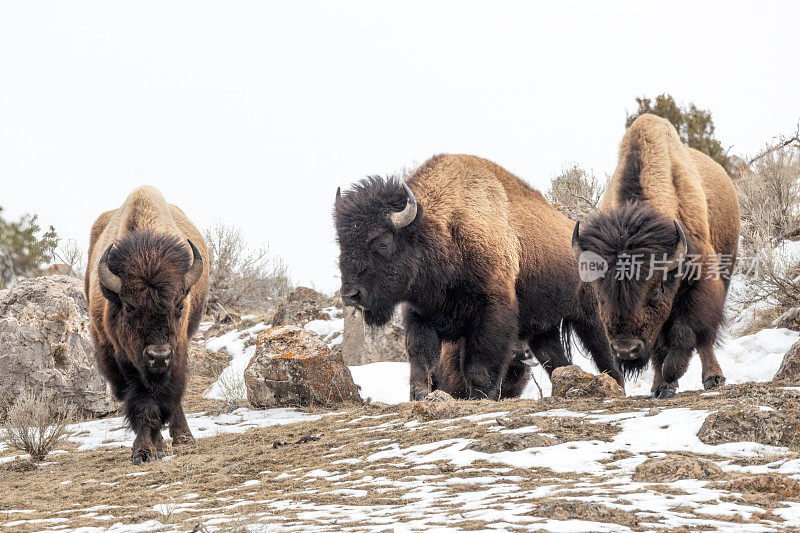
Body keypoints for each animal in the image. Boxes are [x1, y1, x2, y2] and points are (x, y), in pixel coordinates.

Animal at [85, 186, 209, 462]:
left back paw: (183, 437)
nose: (159, 357)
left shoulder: (178, 351)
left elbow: (167, 398)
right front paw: (144, 451)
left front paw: (156, 445)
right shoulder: (123, 361)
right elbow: (143, 405)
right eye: (129, 307)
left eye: (179, 305)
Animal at [334, 154, 620, 400]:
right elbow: (421, 359)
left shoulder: (492, 312)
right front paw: (422, 395)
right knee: (557, 363)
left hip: (589, 316)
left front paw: (481, 397)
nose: (351, 295)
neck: (442, 231)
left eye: (382, 242)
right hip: (542, 331)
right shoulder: (420, 314)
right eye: (341, 243)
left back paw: (616, 387)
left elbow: (479, 367)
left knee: (606, 355)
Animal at [572, 116, 740, 400]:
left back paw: (713, 377)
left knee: (706, 337)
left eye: (656, 290)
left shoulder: (700, 283)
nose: (626, 350)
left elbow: (686, 332)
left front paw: (673, 372)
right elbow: (658, 347)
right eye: (600, 294)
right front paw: (662, 385)